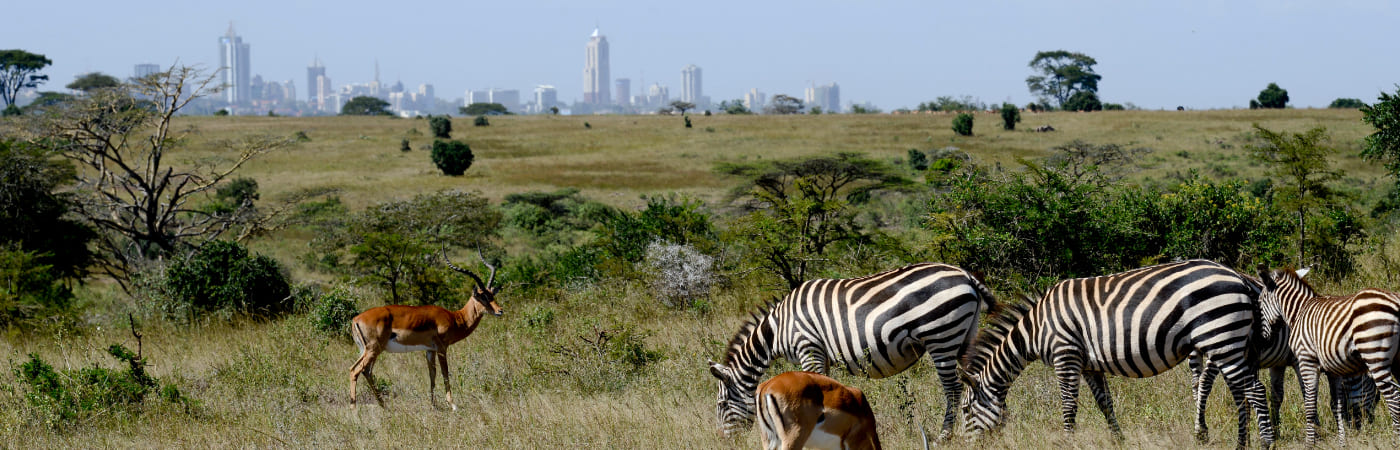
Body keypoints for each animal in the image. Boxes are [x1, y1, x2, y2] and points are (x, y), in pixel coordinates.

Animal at [707, 263, 996, 442]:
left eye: (721, 405)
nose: (724, 442)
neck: (778, 329)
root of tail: (967, 276)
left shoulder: (808, 347)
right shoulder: (821, 355)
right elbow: (827, 389)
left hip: (941, 335)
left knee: (953, 389)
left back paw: (944, 436)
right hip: (963, 337)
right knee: (974, 381)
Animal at [959, 259, 1274, 448]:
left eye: (965, 410)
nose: (962, 445)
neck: (1036, 329)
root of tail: (1238, 277)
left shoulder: (1066, 355)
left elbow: (1068, 406)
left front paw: (1067, 441)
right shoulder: (1089, 365)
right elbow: (1105, 404)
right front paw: (1119, 440)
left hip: (1221, 336)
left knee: (1256, 391)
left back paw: (1266, 442)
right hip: (1228, 342)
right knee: (1240, 393)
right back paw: (1241, 443)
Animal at [1257, 267, 1400, 446]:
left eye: (1260, 303)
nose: (1263, 340)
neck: (1298, 312)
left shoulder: (1306, 361)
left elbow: (1310, 405)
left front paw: (1309, 444)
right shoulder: (1334, 371)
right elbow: (1337, 406)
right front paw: (1342, 443)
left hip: (1374, 355)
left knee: (1394, 396)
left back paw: (1395, 440)